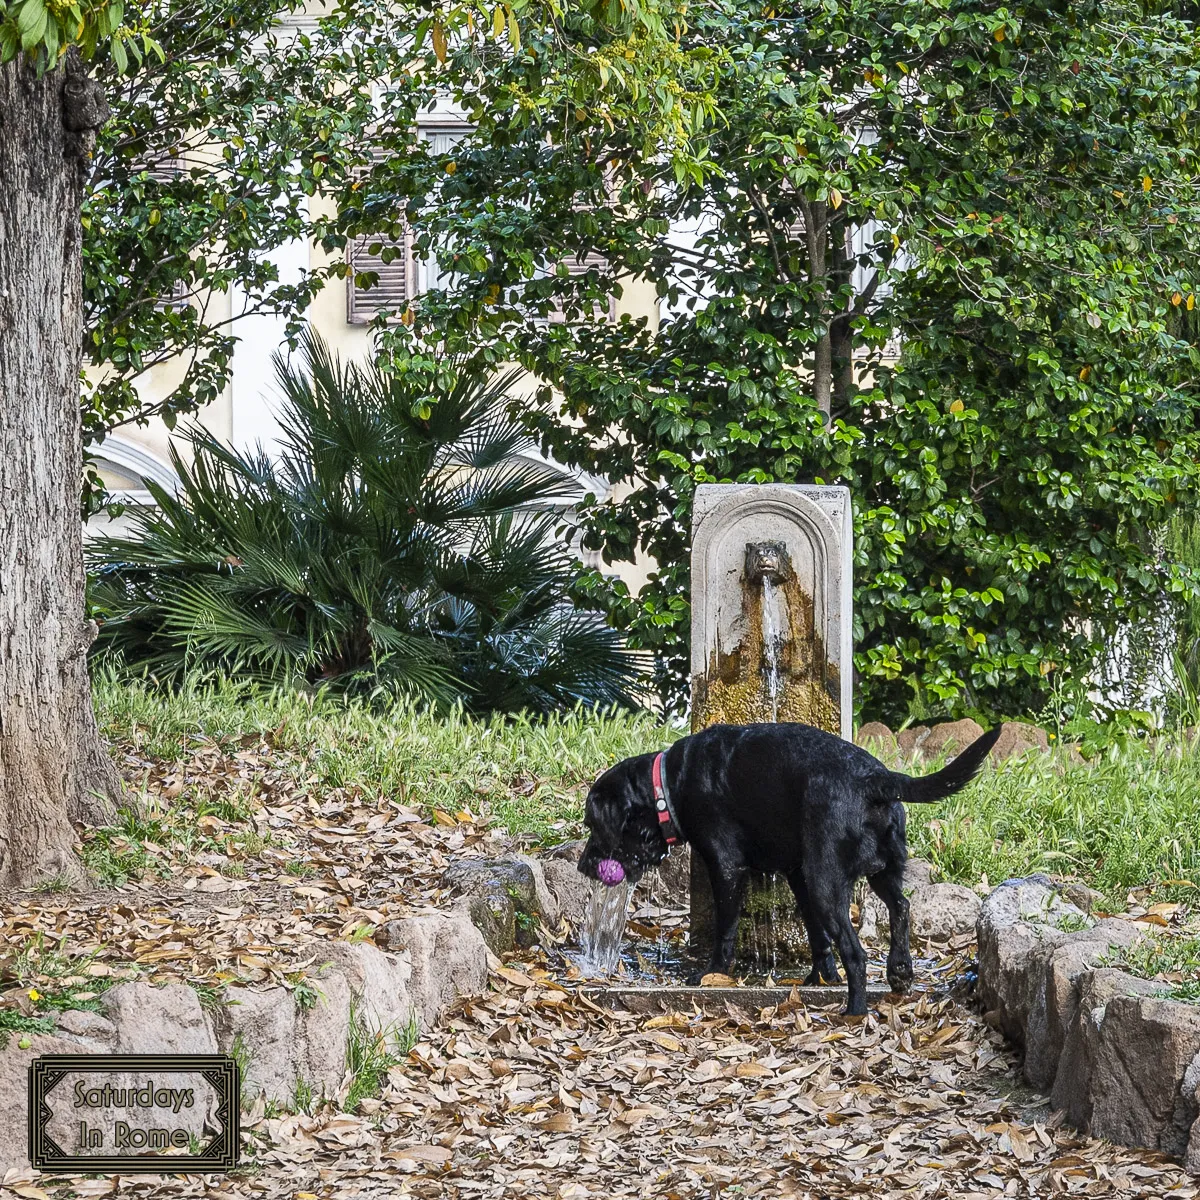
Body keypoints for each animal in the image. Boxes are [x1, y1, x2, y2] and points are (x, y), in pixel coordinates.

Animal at [580, 720, 1003, 1012]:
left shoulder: (727, 867)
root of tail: (878, 779)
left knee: (857, 953)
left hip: (826, 883)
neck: (667, 784)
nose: (584, 866)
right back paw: (899, 971)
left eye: (592, 824)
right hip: (872, 872)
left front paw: (710, 973)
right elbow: (817, 937)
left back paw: (855, 1011)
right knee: (900, 907)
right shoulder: (797, 875)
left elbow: (726, 931)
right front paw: (820, 977)